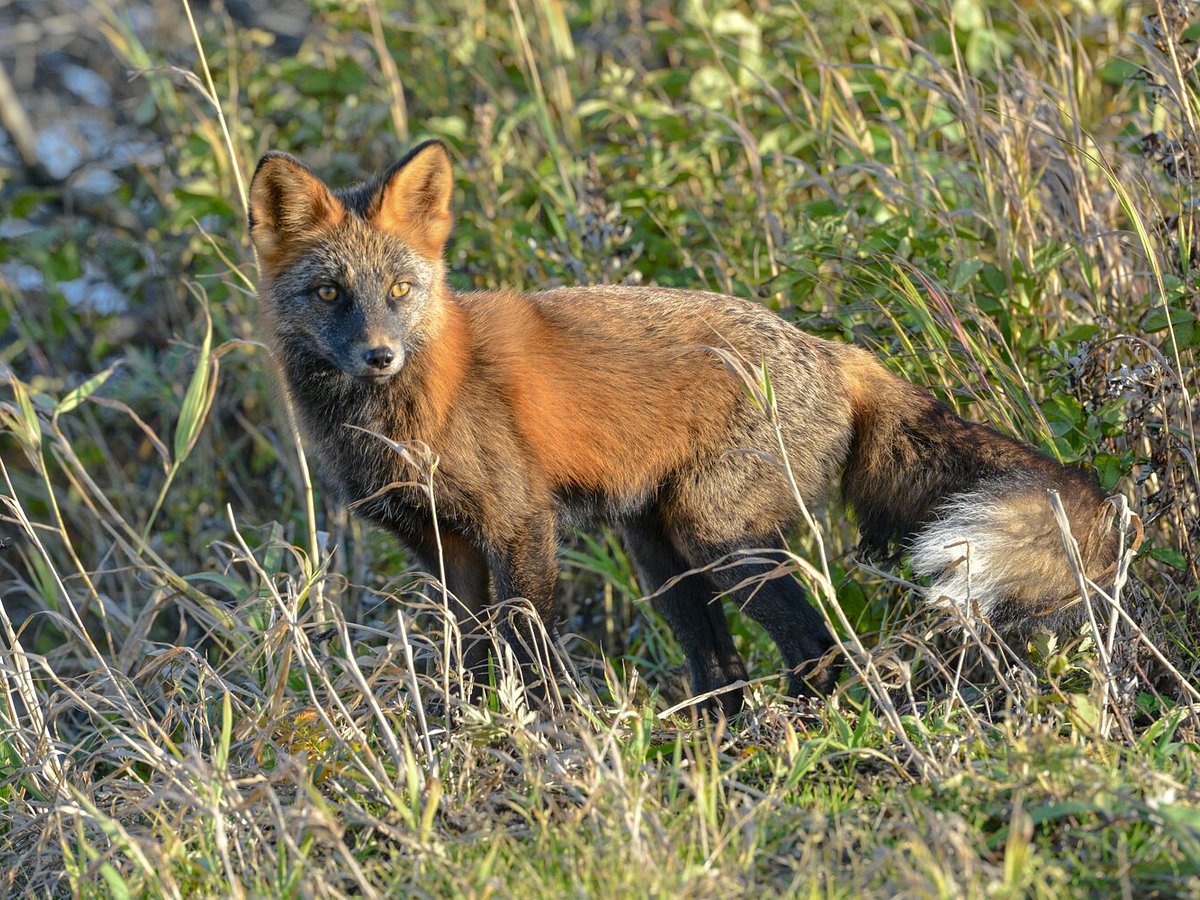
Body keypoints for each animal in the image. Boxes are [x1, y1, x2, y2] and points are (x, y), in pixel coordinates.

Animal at [250, 139, 1123, 720]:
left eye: (399, 290)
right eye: (330, 293)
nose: (379, 355)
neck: (405, 415)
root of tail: (834, 352)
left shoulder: (519, 524)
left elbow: (529, 653)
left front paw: (548, 738)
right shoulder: (442, 545)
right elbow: (468, 658)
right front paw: (467, 734)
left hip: (718, 538)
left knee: (815, 648)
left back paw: (790, 740)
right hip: (660, 554)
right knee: (723, 667)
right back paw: (720, 748)